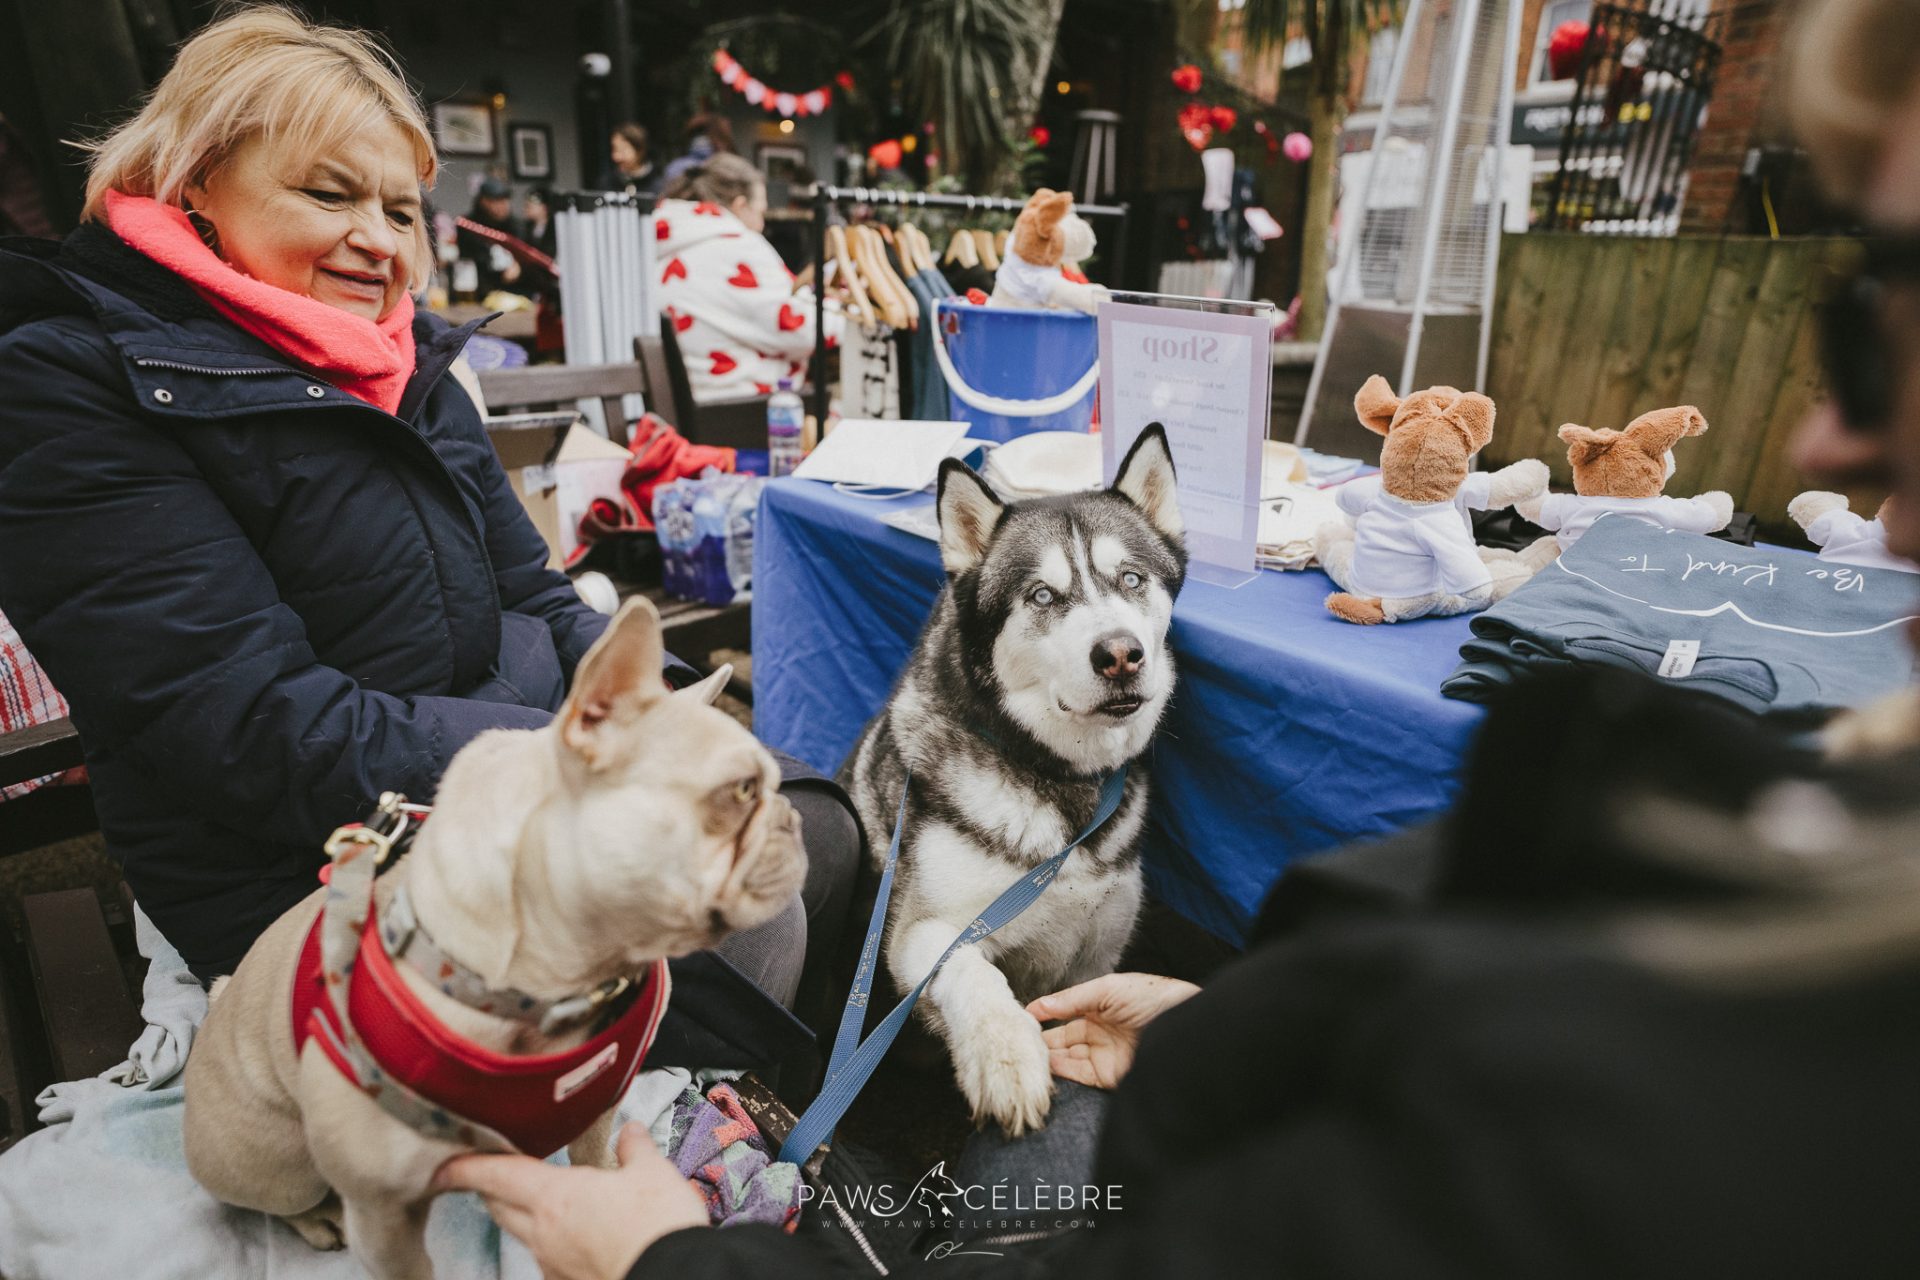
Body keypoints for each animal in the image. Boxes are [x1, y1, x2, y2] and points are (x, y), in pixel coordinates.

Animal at [181, 598, 806, 1280]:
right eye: (742, 791)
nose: (793, 818)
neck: (552, 986)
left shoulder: (594, 1113)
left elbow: (596, 1170)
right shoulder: (383, 1215)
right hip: (286, 1160)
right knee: (282, 1197)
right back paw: (318, 1219)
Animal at [839, 425, 1185, 1135]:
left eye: (1132, 578)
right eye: (1042, 595)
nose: (1120, 654)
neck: (1061, 783)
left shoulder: (1098, 953)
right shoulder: (921, 935)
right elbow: (971, 971)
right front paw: (1006, 1058)